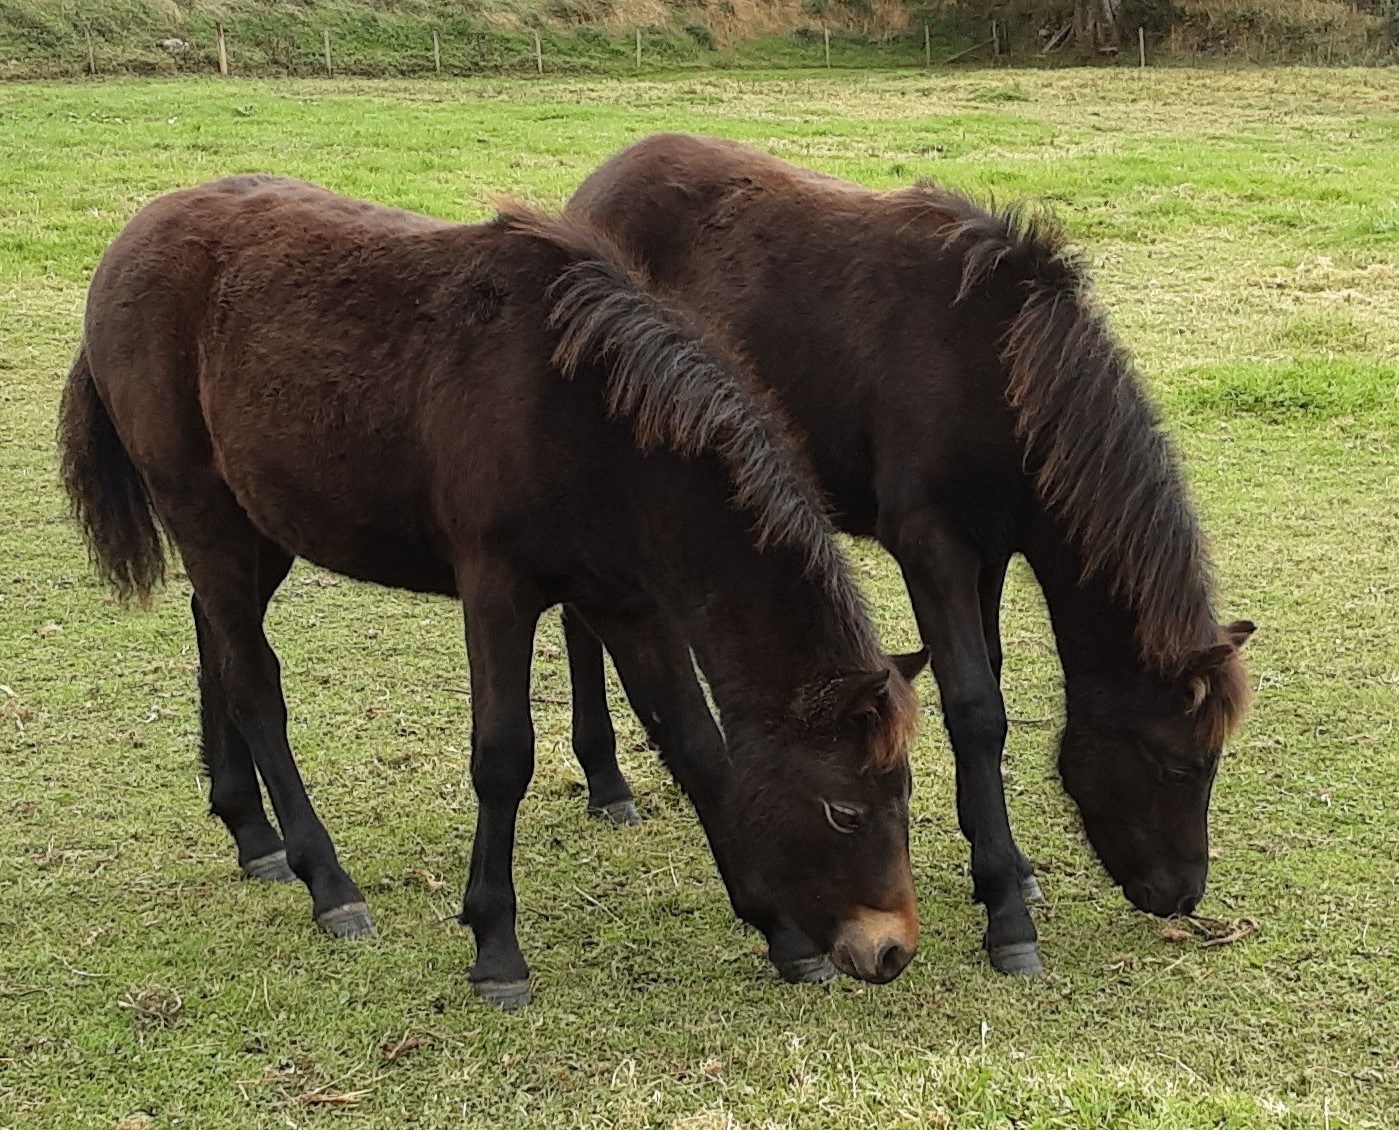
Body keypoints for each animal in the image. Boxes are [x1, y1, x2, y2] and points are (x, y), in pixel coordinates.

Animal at [56, 174, 929, 1008]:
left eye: (904, 792)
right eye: (843, 811)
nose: (889, 951)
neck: (588, 419)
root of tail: (133, 237)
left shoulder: (626, 602)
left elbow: (696, 747)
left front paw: (781, 936)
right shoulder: (495, 590)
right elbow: (503, 756)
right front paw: (495, 947)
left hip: (255, 529)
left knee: (212, 638)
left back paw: (251, 833)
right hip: (202, 513)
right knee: (252, 684)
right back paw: (326, 881)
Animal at [559, 133, 1255, 976]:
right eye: (1178, 765)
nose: (1181, 895)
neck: (990, 369)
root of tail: (596, 189)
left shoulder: (988, 553)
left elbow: (987, 678)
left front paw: (1008, 869)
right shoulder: (932, 549)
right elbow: (975, 709)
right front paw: (1005, 911)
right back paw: (605, 780)